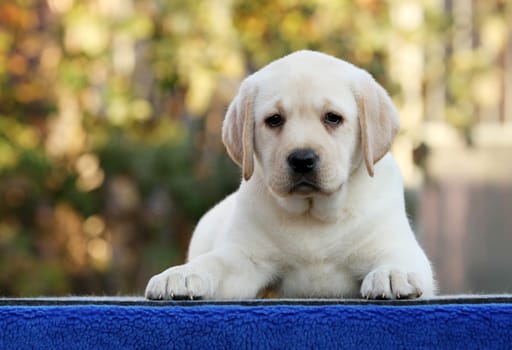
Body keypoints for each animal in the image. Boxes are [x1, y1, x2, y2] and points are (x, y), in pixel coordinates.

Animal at [146, 50, 434, 300]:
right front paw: (181, 274)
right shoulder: (245, 257)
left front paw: (394, 273)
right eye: (274, 120)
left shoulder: (393, 243)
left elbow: (399, 256)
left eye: (333, 118)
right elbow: (216, 261)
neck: (313, 214)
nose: (302, 159)